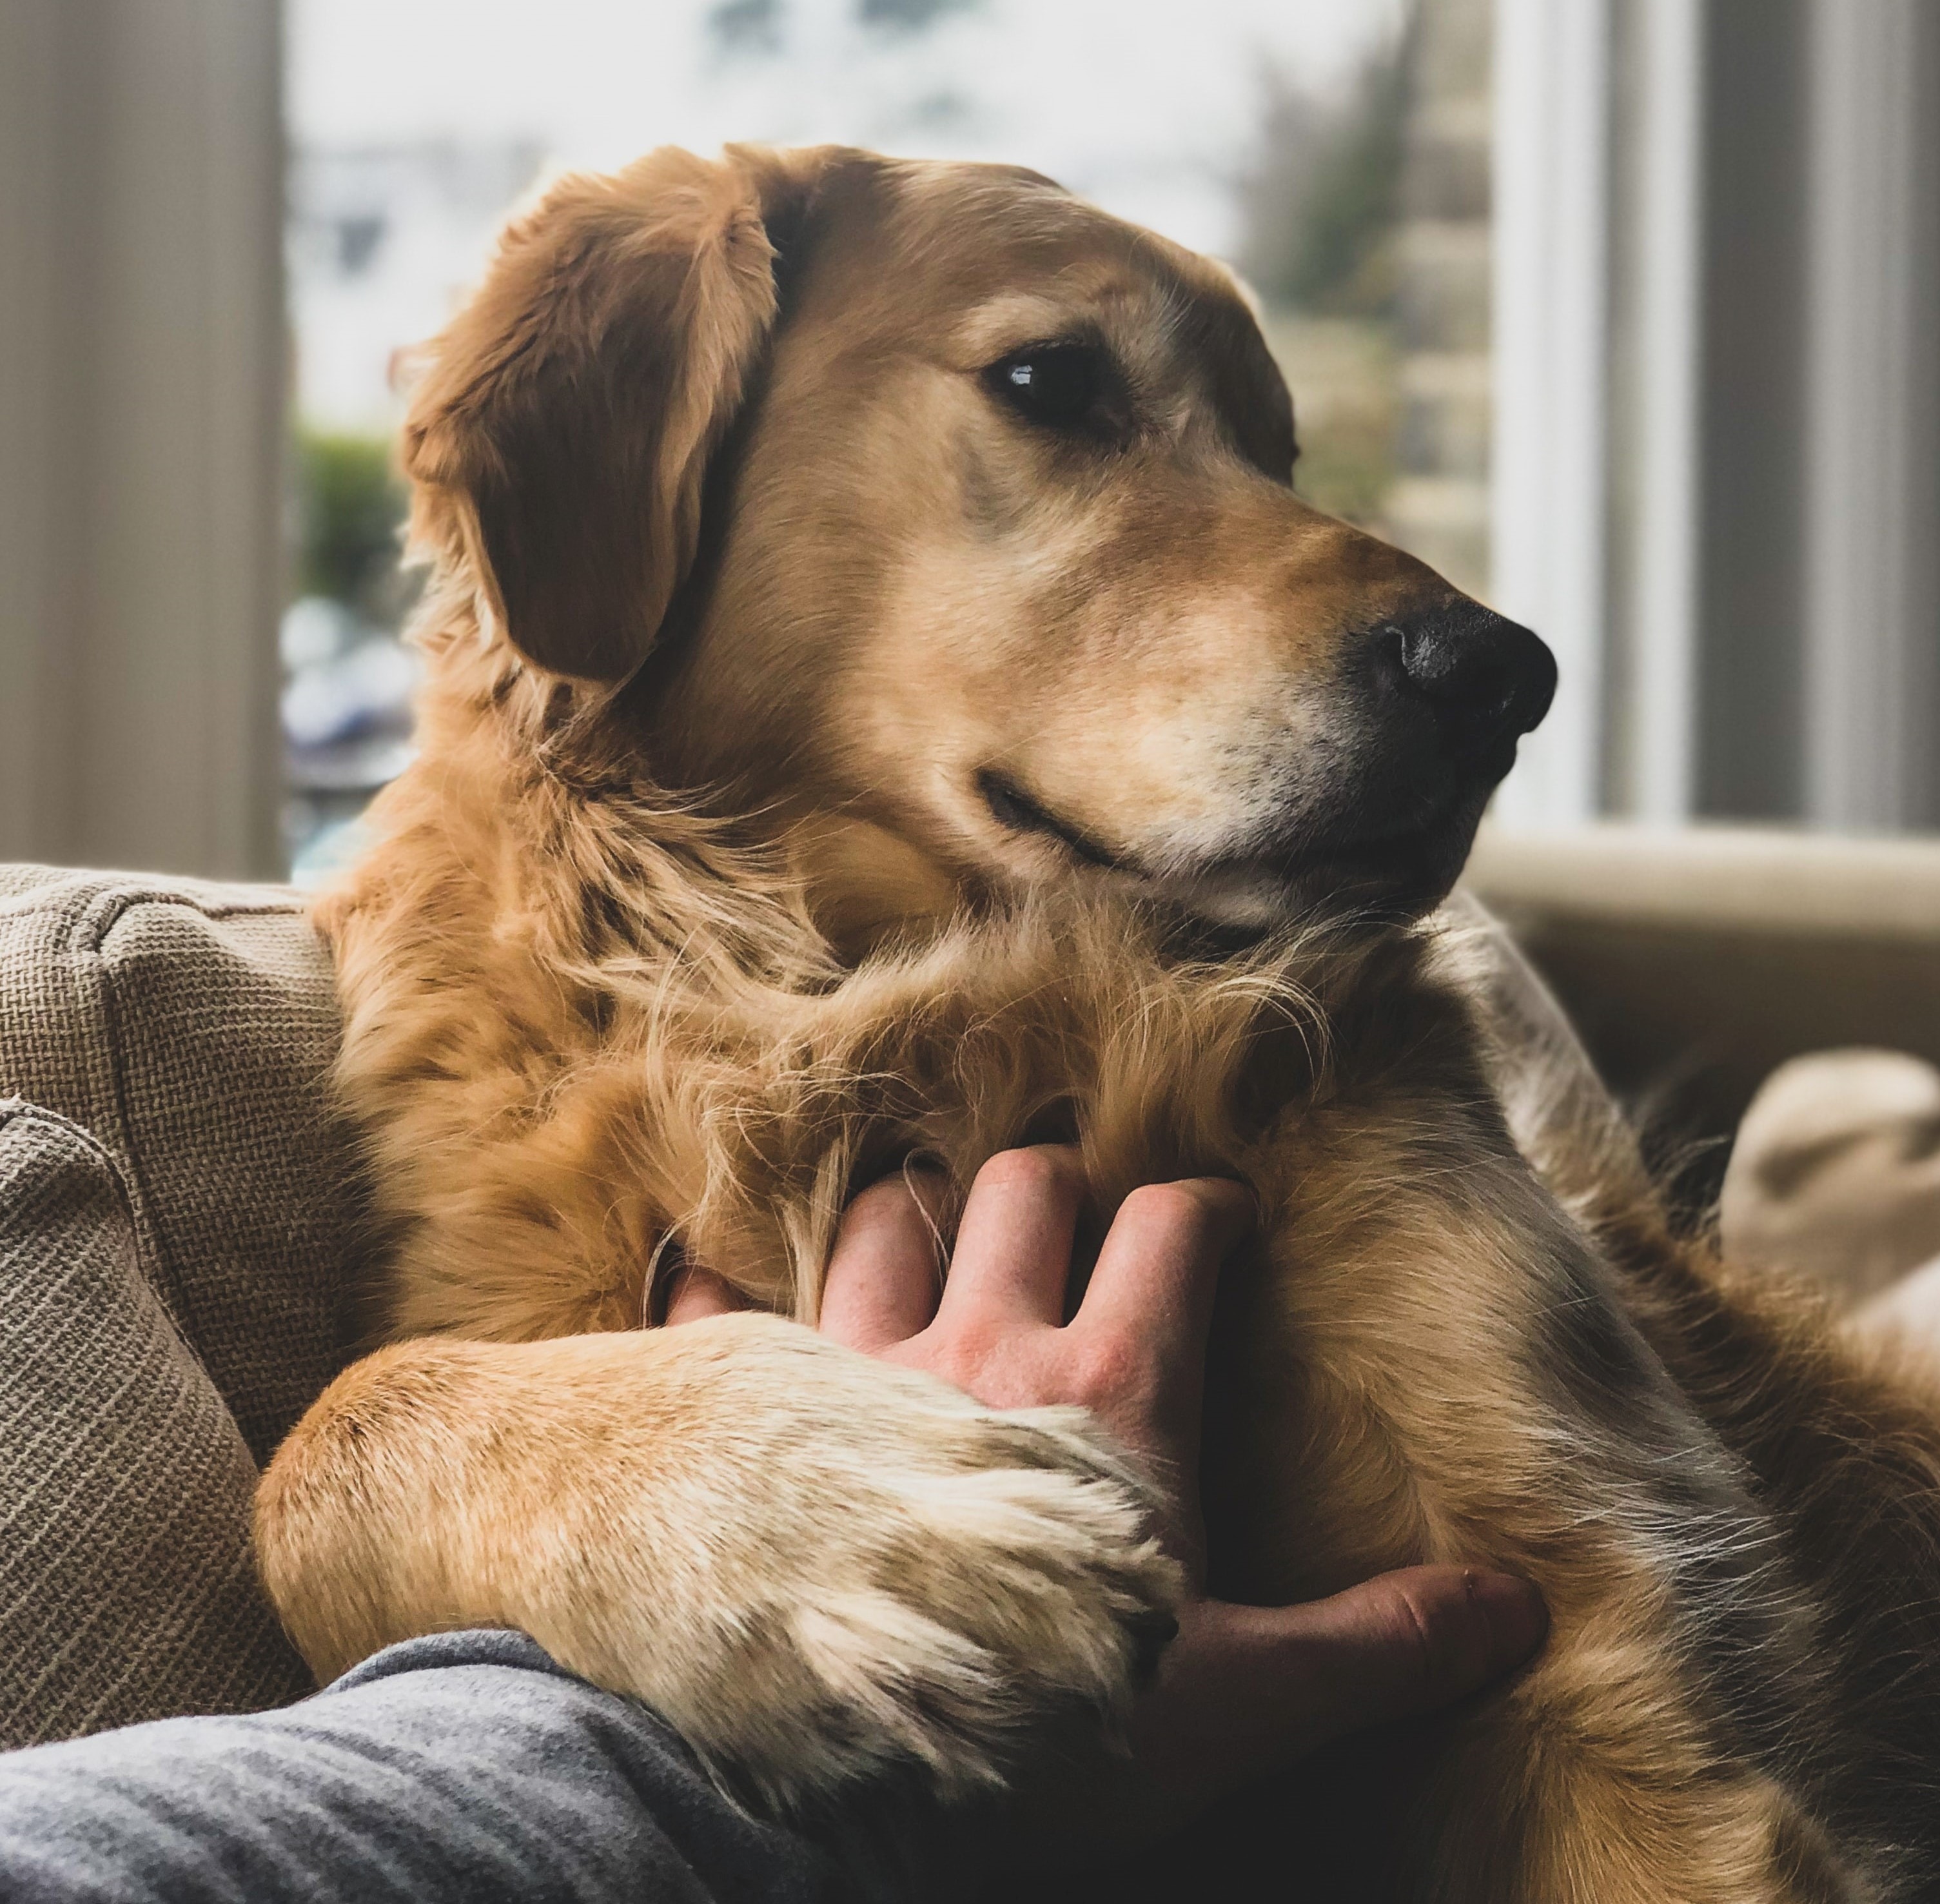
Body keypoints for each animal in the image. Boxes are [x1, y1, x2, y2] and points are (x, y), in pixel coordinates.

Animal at [254, 152, 1940, 1901]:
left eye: (1276, 446)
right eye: (1049, 382)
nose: (1501, 677)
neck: (899, 994)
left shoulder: (1620, 1655)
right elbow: (325, 1439)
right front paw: (847, 1516)